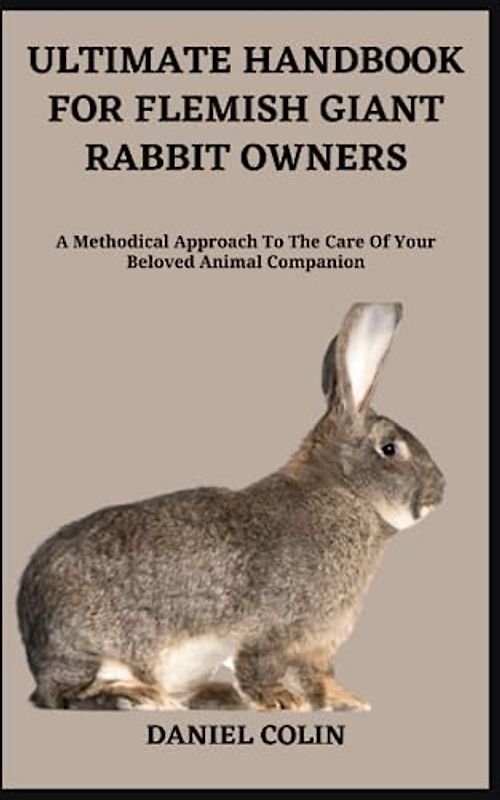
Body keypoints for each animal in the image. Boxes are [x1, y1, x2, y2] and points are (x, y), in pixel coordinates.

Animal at [17, 302, 445, 712]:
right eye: (389, 449)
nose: (439, 491)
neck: (345, 492)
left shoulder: (315, 648)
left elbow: (320, 678)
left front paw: (347, 702)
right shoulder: (275, 632)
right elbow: (263, 666)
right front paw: (281, 702)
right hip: (94, 652)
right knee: (68, 694)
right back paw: (138, 698)